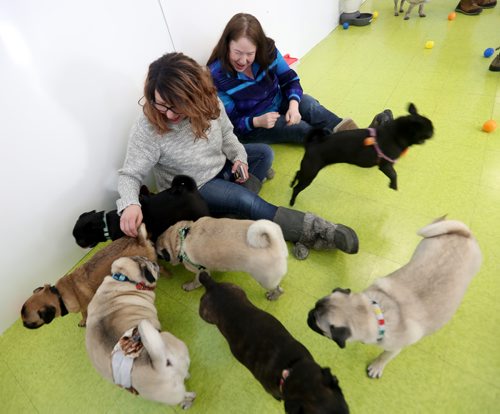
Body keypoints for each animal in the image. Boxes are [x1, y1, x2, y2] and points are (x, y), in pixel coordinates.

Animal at [21, 225, 156, 328]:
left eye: (30, 323)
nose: (24, 325)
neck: (58, 295)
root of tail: (139, 240)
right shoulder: (82, 307)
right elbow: (83, 313)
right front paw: (83, 320)